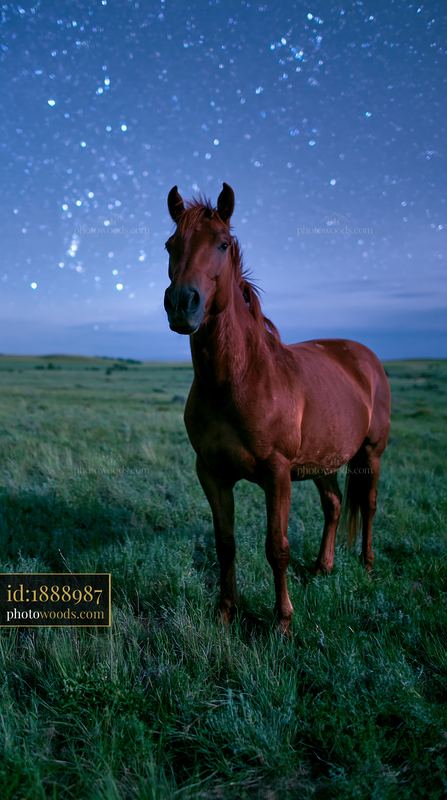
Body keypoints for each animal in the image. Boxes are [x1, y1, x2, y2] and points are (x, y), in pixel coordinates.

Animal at [164, 182, 391, 635]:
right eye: (170, 245)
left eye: (222, 243)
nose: (182, 303)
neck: (237, 379)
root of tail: (364, 357)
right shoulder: (211, 473)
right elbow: (225, 544)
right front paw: (225, 612)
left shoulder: (277, 473)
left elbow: (277, 547)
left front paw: (283, 621)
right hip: (323, 460)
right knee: (334, 504)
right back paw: (322, 567)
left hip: (370, 454)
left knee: (369, 506)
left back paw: (368, 565)